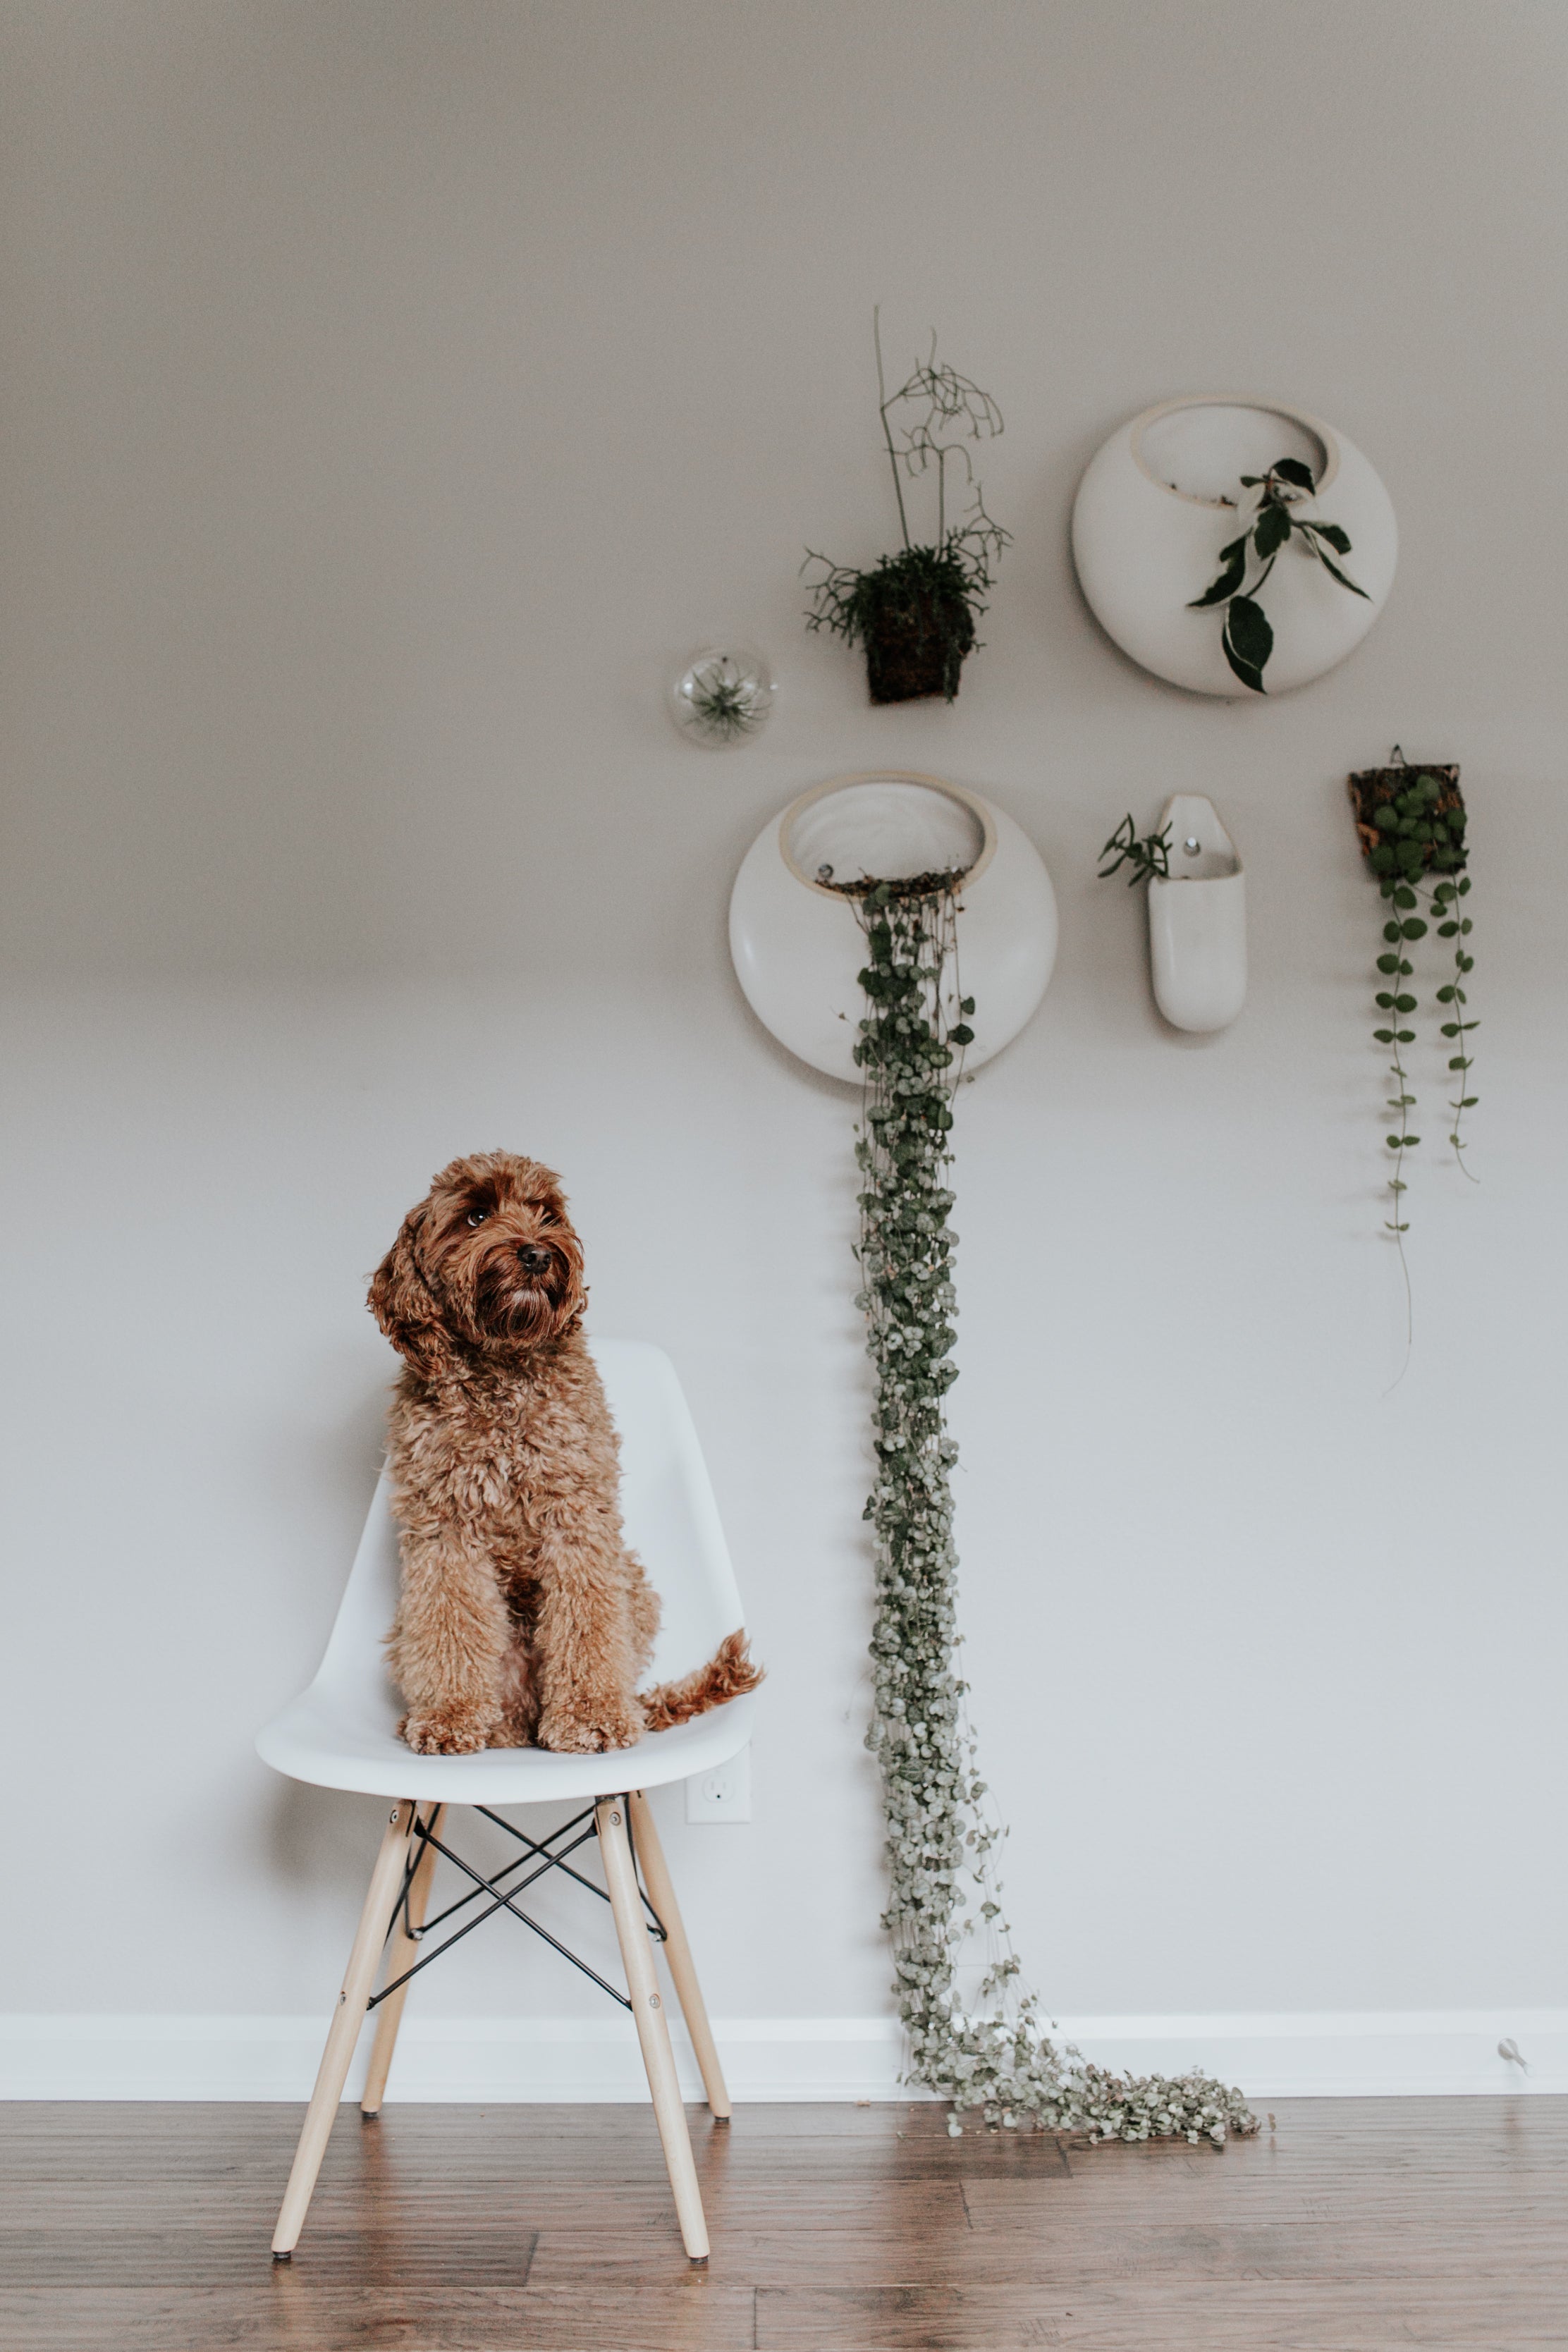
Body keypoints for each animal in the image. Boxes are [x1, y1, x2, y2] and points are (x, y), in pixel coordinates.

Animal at [369, 1147, 761, 1759]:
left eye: (547, 1213)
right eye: (476, 1216)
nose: (536, 1253)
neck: (503, 1370)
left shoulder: (576, 1517)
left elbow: (585, 1623)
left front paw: (591, 1717)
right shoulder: (444, 1529)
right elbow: (451, 1621)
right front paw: (450, 1716)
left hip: (634, 1584)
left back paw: (613, 1709)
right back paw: (484, 1723)